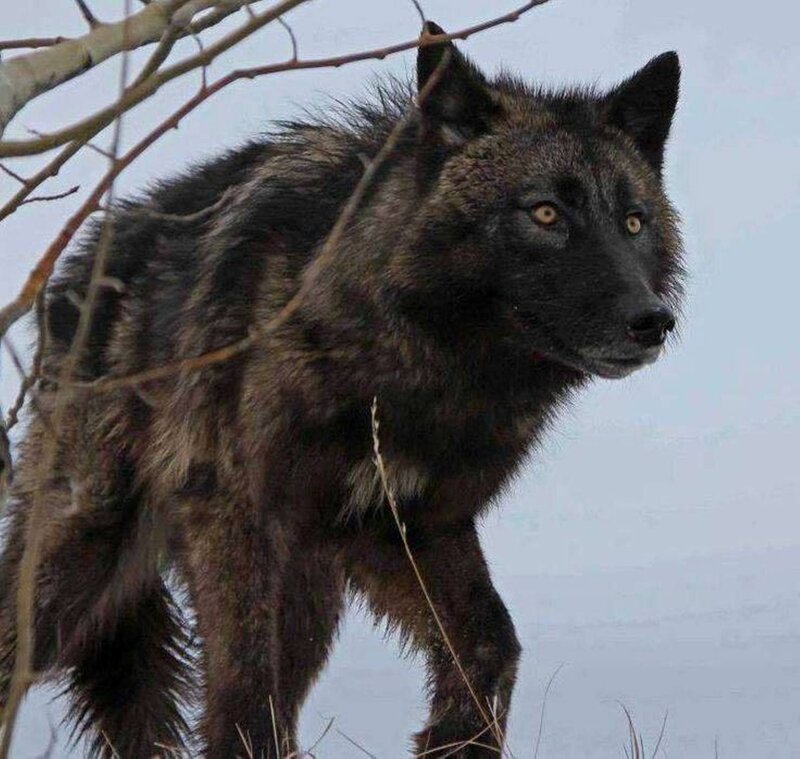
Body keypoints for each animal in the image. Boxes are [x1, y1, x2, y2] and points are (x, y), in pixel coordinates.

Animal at [0, 21, 683, 758]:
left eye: (634, 222)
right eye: (546, 213)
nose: (652, 321)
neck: (415, 367)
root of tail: (70, 276)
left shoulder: (410, 526)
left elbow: (490, 644)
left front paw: (455, 738)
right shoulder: (237, 516)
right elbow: (244, 687)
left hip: (309, 595)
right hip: (76, 564)